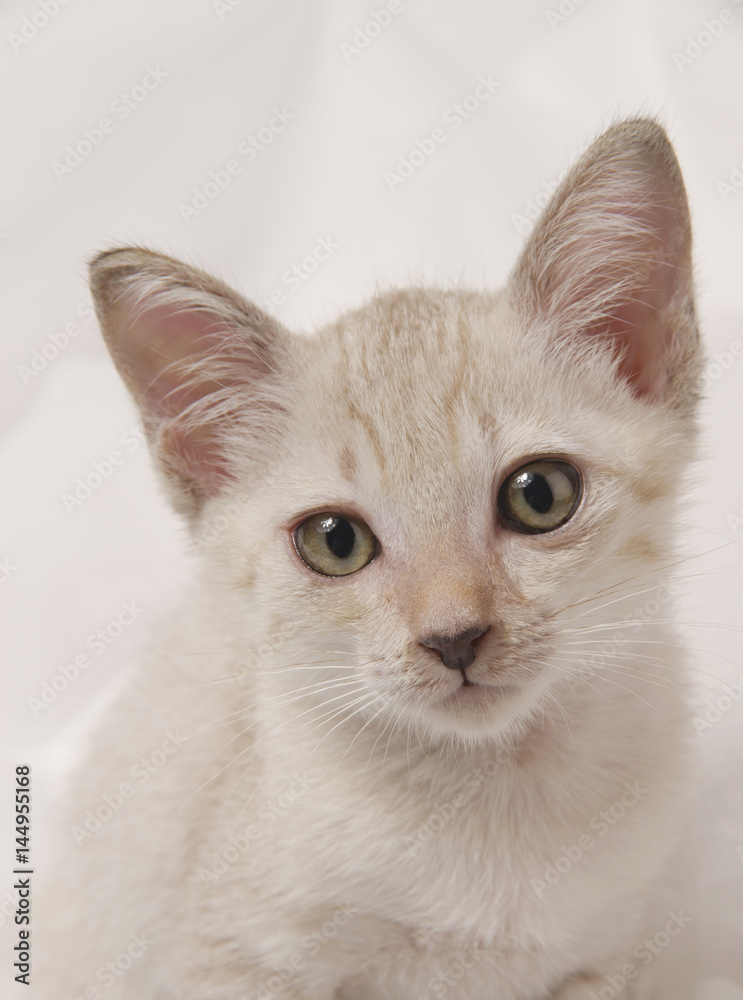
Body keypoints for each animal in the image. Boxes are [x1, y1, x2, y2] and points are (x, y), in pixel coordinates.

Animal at [43, 119, 700, 1000]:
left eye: (539, 495)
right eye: (334, 542)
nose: (454, 638)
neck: (488, 795)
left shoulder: (596, 958)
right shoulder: (226, 957)